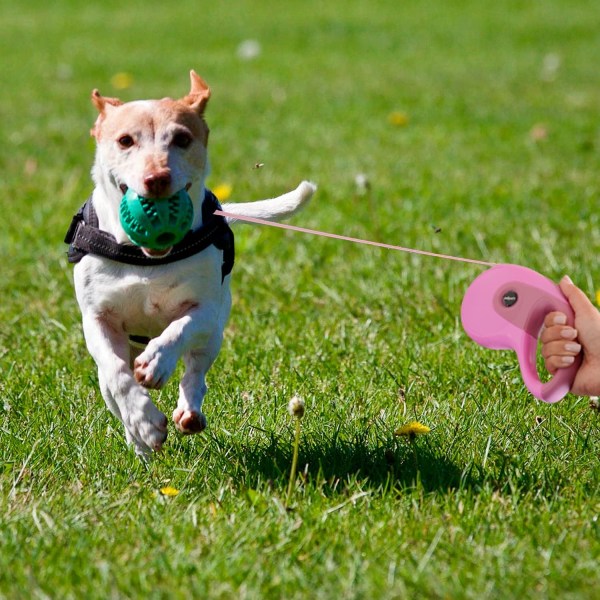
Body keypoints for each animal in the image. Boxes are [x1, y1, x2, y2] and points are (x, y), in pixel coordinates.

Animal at [66, 69, 316, 454]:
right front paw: (144, 422)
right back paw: (139, 443)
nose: (157, 178)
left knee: (196, 370)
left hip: (214, 333)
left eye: (182, 139)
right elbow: (118, 375)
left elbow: (178, 330)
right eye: (125, 140)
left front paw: (157, 363)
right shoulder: (97, 319)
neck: (145, 258)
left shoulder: (206, 309)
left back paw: (188, 411)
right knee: (113, 387)